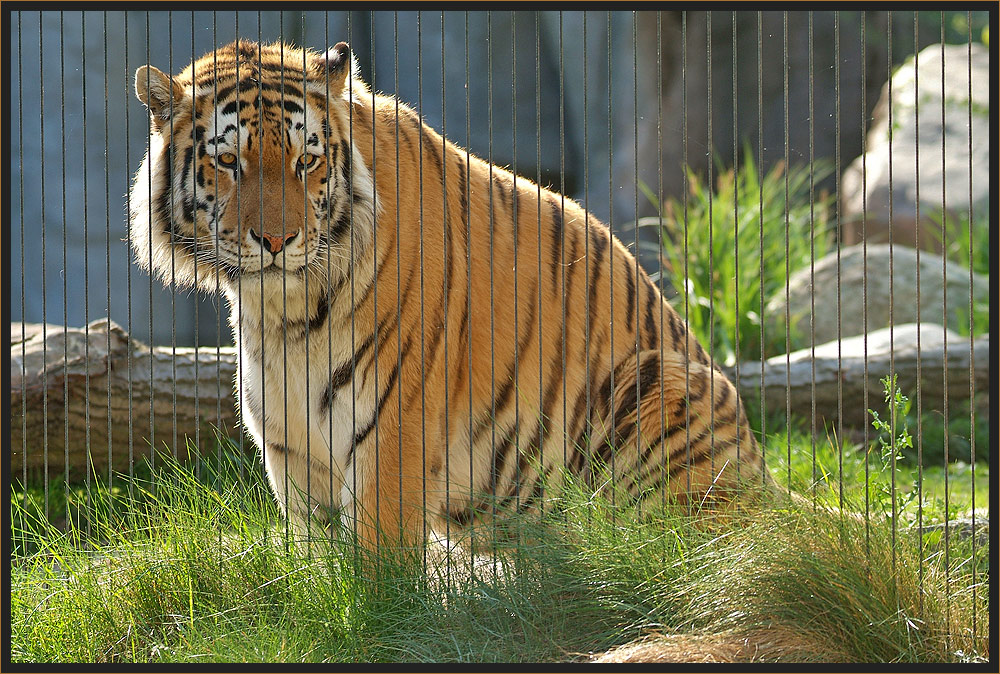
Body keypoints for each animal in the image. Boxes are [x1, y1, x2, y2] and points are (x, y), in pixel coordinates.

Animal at [131, 39, 772, 548]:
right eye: (229, 162)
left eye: (305, 162)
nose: (276, 240)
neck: (282, 312)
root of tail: (771, 487)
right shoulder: (292, 447)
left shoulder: (392, 424)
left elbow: (378, 560)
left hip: (652, 384)